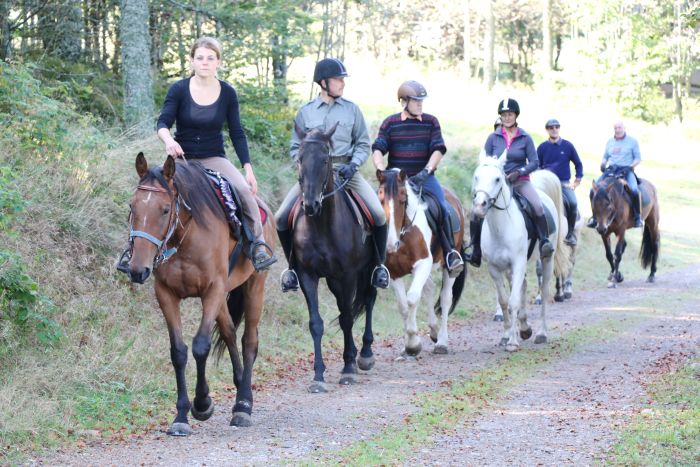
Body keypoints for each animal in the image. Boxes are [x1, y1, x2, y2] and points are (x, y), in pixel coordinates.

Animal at [123, 153, 274, 436]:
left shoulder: (212, 291)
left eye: (165, 209)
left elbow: (200, 346)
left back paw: (243, 405)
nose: (137, 269)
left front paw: (203, 403)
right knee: (229, 332)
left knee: (249, 340)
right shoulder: (166, 294)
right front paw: (181, 415)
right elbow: (179, 352)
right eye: (132, 206)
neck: (184, 239)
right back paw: (239, 385)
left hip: (255, 285)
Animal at [288, 125, 378, 394]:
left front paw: (348, 369)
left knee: (368, 300)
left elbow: (347, 318)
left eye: (325, 159)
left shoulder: (348, 275)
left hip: (367, 270)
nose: (310, 205)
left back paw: (364, 355)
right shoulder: (308, 275)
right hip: (333, 280)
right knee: (343, 307)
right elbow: (316, 323)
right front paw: (318, 376)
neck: (321, 224)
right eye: (299, 159)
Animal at [374, 170, 468, 356]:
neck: (403, 234)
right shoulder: (393, 273)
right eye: (380, 197)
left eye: (403, 198)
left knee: (445, 298)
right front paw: (409, 343)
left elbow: (411, 299)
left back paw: (442, 342)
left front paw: (412, 344)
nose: (391, 244)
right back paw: (434, 330)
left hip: (448, 266)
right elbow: (403, 305)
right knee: (430, 288)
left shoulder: (423, 264)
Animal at [470, 151, 568, 352]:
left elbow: (513, 300)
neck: (501, 228)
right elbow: (504, 301)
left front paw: (513, 343)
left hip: (546, 259)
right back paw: (524, 328)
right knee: (522, 285)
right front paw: (507, 335)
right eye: (477, 176)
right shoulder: (494, 268)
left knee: (543, 291)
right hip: (510, 269)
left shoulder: (518, 262)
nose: (479, 206)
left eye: (497, 179)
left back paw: (541, 333)